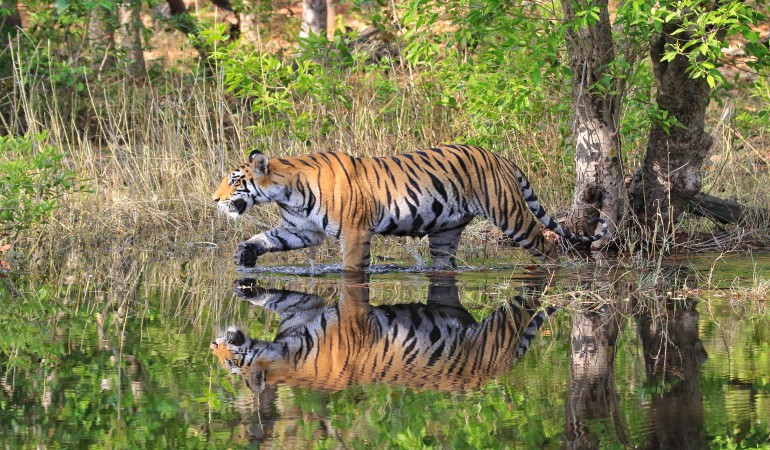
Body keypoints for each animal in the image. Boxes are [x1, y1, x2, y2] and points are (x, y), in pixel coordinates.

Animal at [211, 275, 556, 392]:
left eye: (230, 364)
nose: (213, 343)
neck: (282, 350)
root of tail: (502, 368)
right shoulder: (301, 307)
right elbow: (272, 295)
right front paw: (244, 288)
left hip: (500, 325)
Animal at [212, 144, 607, 271]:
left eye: (233, 180)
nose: (214, 199)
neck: (286, 191)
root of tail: (499, 156)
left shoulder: (354, 232)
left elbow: (352, 268)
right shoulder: (300, 229)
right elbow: (268, 238)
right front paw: (244, 254)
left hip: (512, 216)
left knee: (545, 244)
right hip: (446, 232)